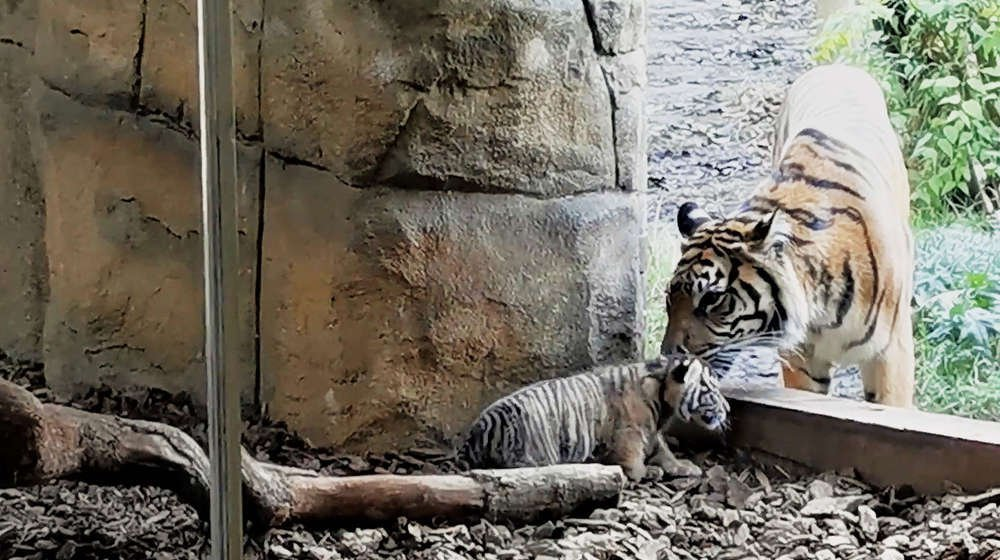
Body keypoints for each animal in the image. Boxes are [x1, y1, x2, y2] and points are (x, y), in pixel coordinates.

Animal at [660, 64, 916, 406]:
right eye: (668, 298)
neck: (822, 311)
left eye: (713, 298)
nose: (669, 360)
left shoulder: (891, 352)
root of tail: (837, 65)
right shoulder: (802, 358)